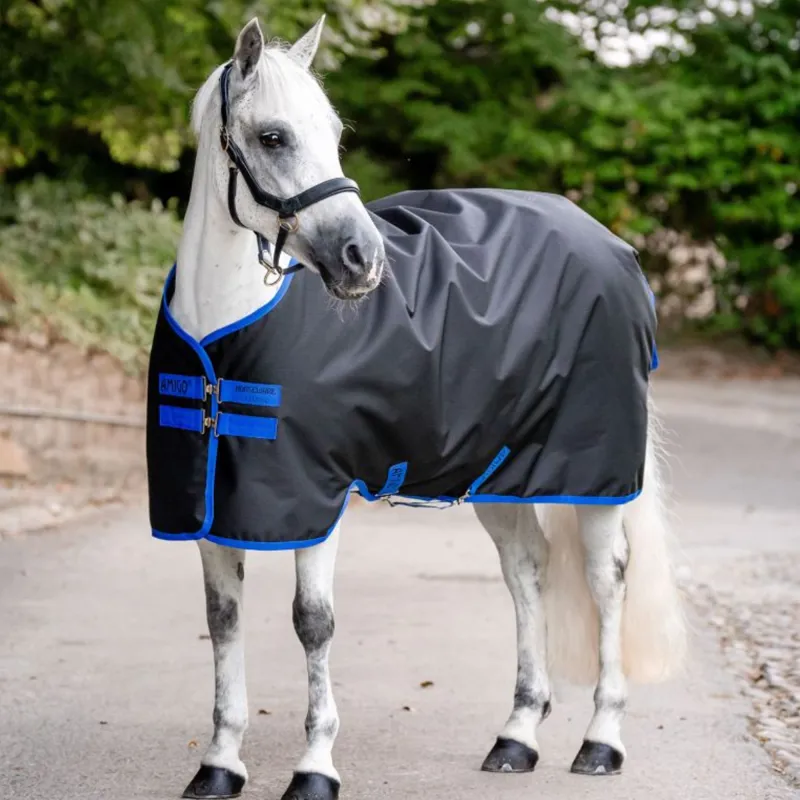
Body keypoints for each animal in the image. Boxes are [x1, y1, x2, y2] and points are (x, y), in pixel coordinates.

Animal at [152, 16, 687, 800]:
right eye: (273, 136)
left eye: (335, 133)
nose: (362, 259)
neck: (224, 340)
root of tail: (613, 246)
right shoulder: (213, 510)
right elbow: (223, 623)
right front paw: (219, 764)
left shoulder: (316, 499)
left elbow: (312, 622)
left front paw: (315, 768)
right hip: (501, 474)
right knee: (526, 571)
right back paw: (517, 736)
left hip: (592, 473)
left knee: (606, 577)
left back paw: (601, 740)